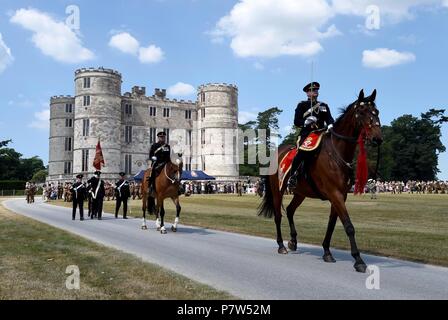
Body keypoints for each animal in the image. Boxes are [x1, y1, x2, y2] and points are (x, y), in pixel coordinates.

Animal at [260, 90, 382, 272]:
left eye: (376, 112)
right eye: (362, 112)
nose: (377, 138)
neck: (337, 153)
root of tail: (278, 152)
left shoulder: (340, 196)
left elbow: (332, 224)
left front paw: (327, 252)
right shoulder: (335, 194)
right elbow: (349, 226)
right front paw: (358, 260)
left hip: (300, 193)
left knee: (290, 210)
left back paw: (293, 241)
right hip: (277, 191)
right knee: (278, 216)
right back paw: (281, 245)